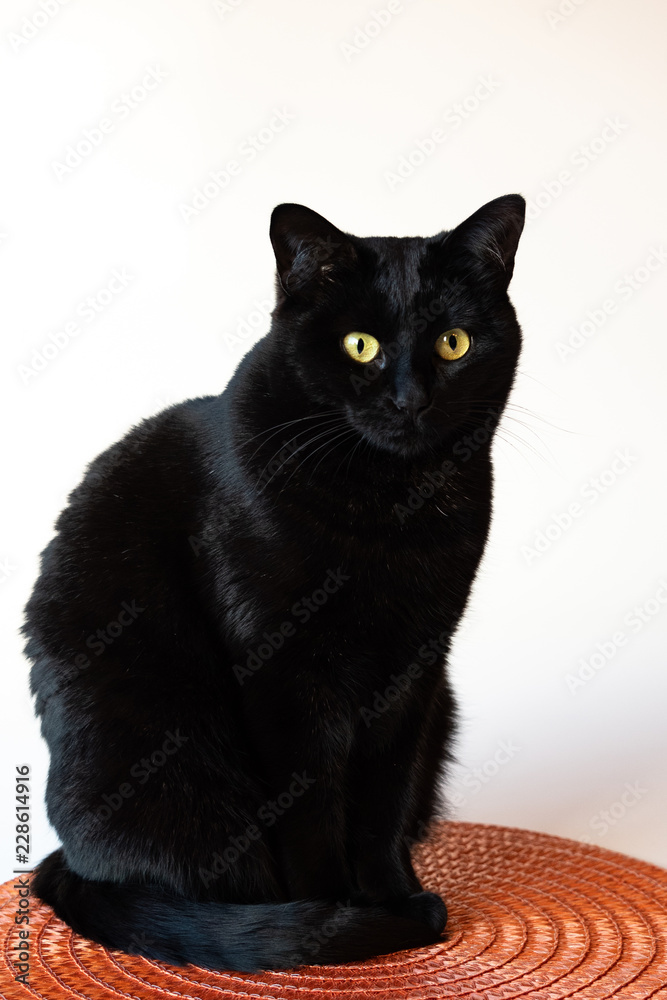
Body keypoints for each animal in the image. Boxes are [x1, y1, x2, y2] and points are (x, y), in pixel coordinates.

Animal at [23, 195, 528, 968]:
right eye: (358, 345)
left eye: (453, 344)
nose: (409, 400)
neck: (389, 509)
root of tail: (68, 866)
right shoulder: (283, 674)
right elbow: (310, 809)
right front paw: (338, 922)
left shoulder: (414, 668)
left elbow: (383, 800)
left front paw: (389, 896)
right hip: (172, 760)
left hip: (441, 707)